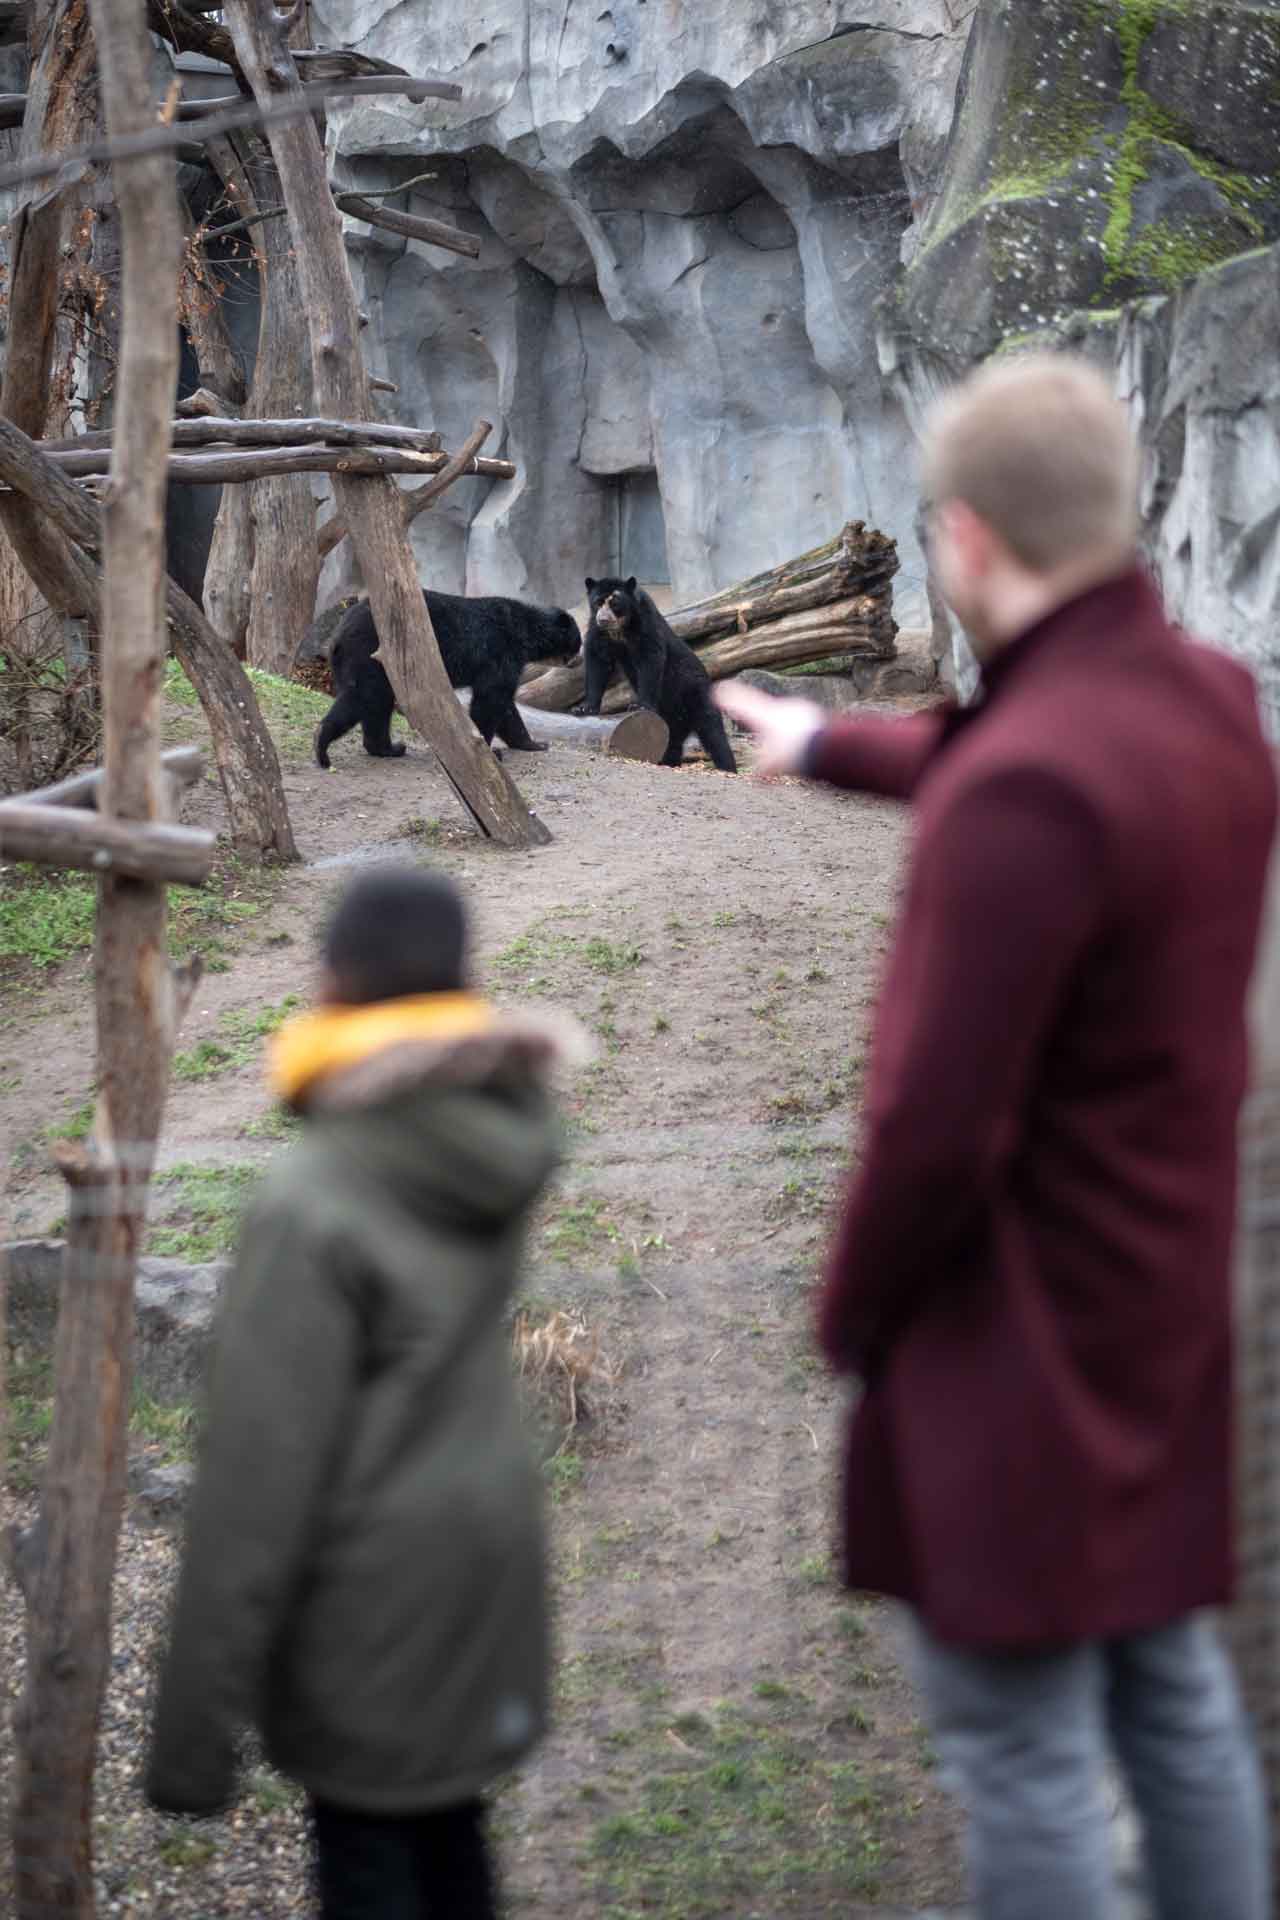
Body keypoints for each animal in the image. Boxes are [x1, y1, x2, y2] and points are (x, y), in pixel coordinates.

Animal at [314, 587, 579, 768]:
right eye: (578, 642)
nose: (578, 661)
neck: (525, 630)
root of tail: (336, 637)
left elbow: (505, 706)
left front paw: (535, 744)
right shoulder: (500, 649)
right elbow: (491, 698)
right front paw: (491, 751)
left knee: (375, 705)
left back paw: (388, 748)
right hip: (370, 654)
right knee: (366, 697)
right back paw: (323, 747)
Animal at [583, 572, 740, 775]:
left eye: (615, 603)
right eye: (597, 602)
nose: (603, 619)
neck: (620, 629)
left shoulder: (646, 624)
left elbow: (651, 660)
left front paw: (640, 705)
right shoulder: (599, 632)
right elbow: (598, 661)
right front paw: (586, 708)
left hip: (697, 693)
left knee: (713, 732)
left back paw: (728, 768)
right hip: (671, 719)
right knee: (672, 741)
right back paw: (669, 762)